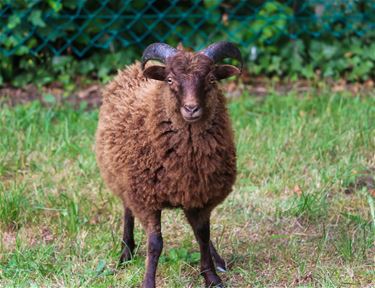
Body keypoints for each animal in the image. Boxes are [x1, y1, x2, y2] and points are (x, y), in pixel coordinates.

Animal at [96, 41, 244, 288]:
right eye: (170, 80)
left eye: (211, 79)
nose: (191, 109)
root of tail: (131, 68)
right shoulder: (146, 199)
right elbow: (155, 243)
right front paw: (148, 282)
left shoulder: (201, 196)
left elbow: (203, 236)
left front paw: (212, 276)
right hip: (122, 179)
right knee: (127, 210)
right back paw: (126, 252)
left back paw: (218, 259)